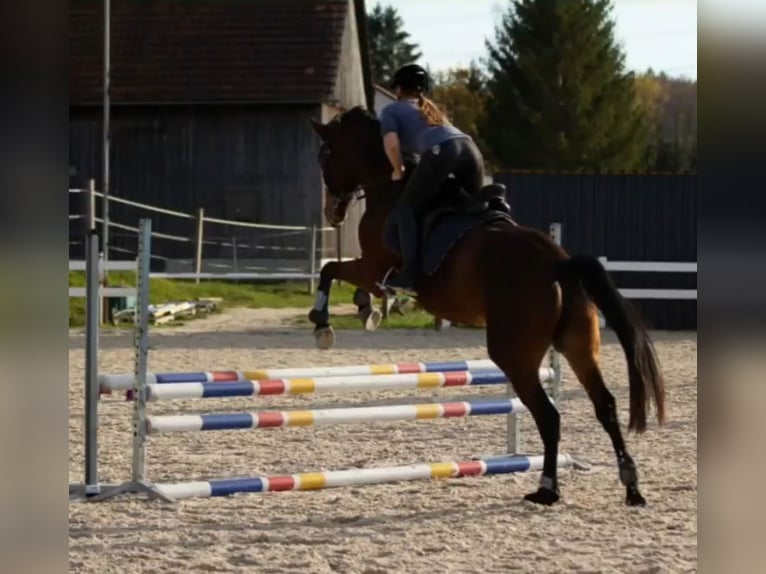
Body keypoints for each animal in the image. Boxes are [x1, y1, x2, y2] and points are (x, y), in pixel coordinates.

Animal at [306, 108, 664, 508]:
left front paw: (326, 323)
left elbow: (332, 271)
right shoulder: (372, 270)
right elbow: (343, 277)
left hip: (515, 356)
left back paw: (547, 489)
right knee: (605, 406)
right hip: (579, 346)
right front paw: (367, 311)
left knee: (549, 416)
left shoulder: (372, 268)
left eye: (326, 156)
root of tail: (558, 262)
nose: (332, 213)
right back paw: (631, 486)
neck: (389, 186)